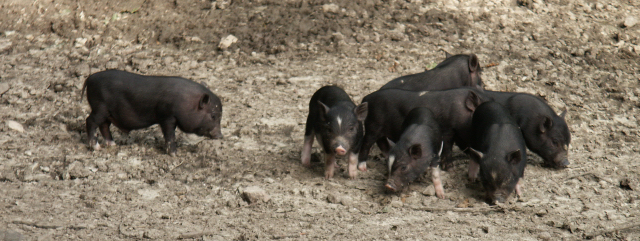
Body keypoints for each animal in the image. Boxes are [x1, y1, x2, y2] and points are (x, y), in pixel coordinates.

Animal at [81, 69, 224, 154]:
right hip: (100, 108)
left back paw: (113, 145)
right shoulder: (167, 117)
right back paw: (96, 147)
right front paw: (174, 154)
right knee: (90, 121)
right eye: (213, 115)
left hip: (107, 113)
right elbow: (169, 135)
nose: (220, 136)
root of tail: (90, 78)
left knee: (104, 125)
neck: (187, 102)